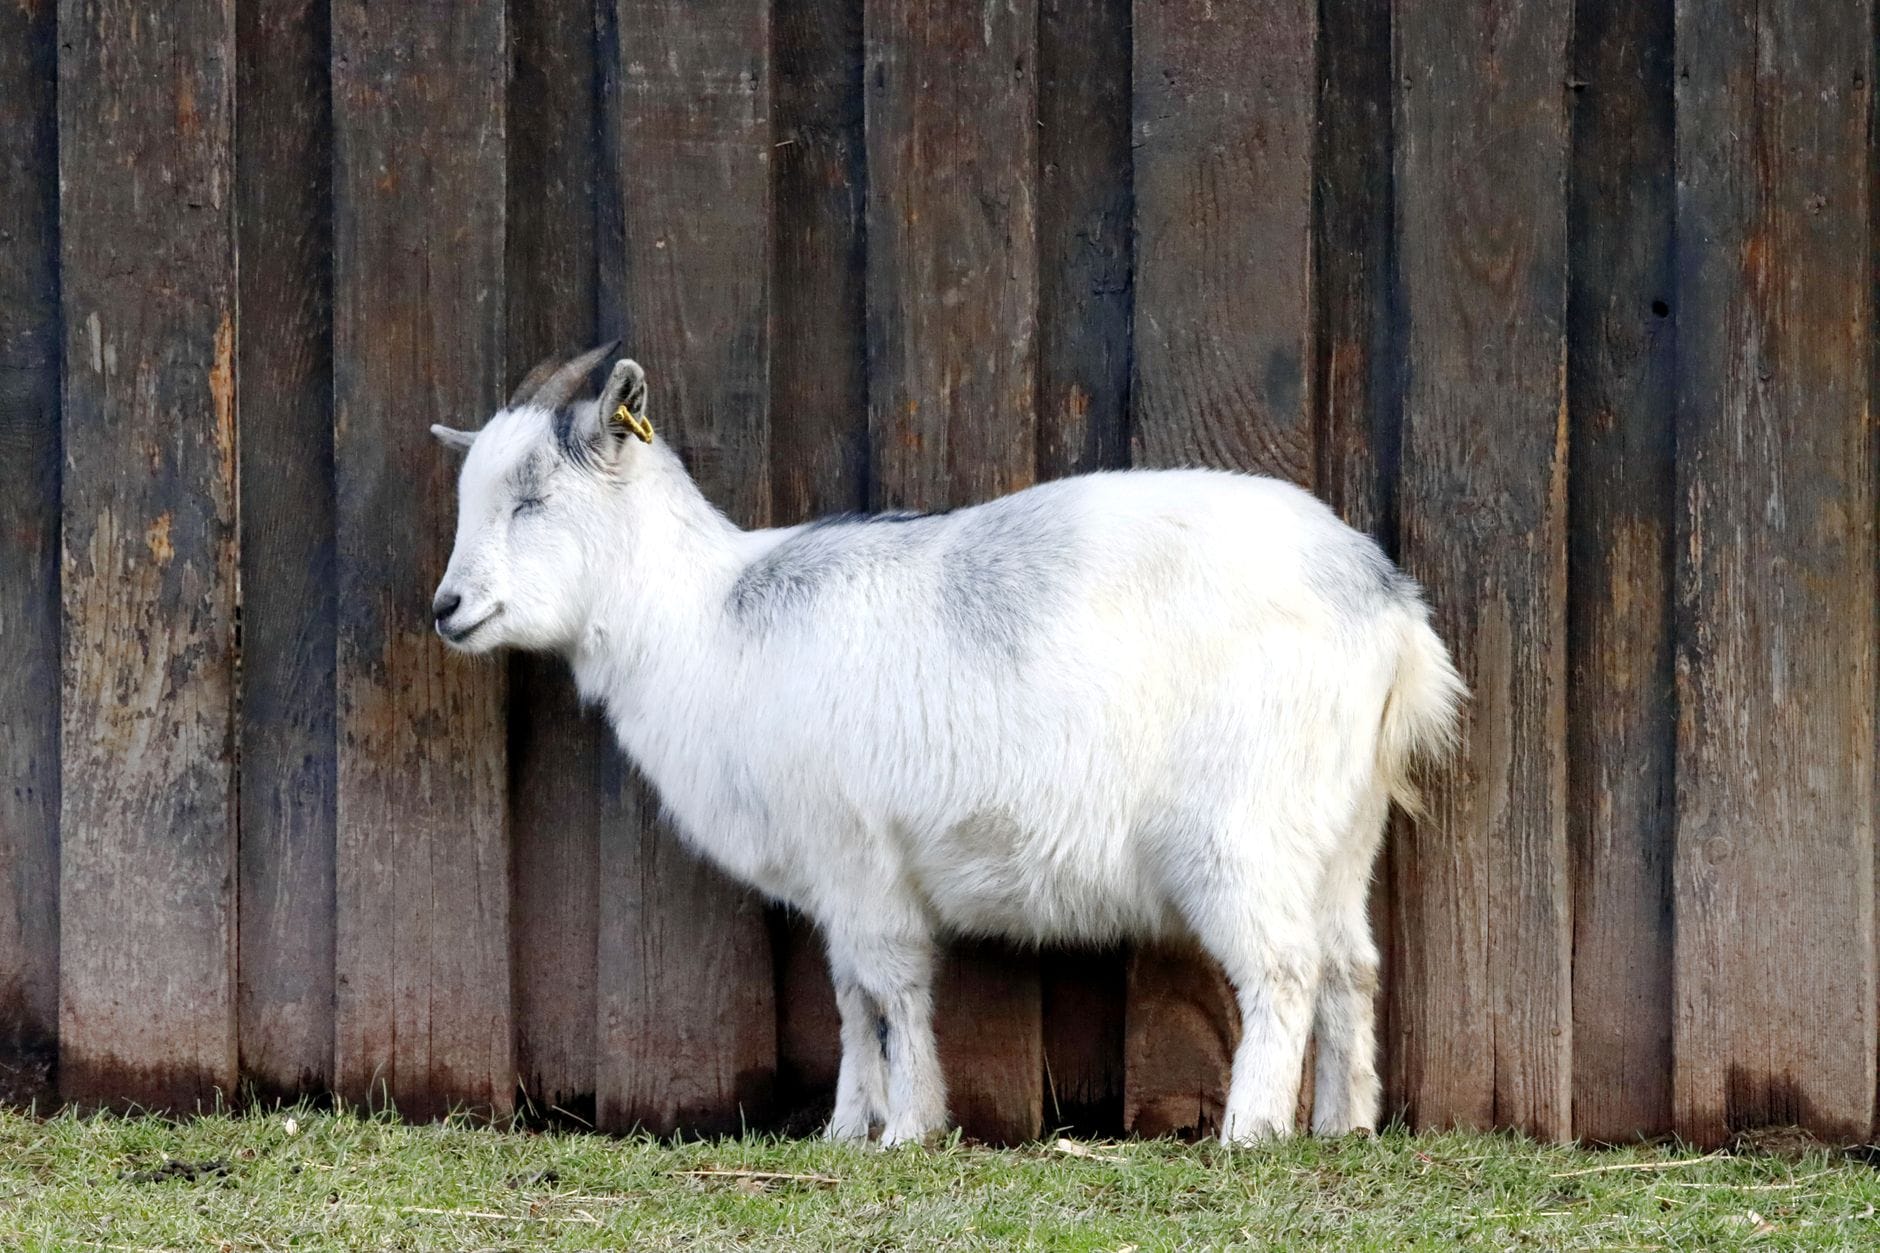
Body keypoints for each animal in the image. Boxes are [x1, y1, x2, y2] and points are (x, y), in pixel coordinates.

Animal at [431, 345, 1464, 1145]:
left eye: (532, 499)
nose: (447, 607)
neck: (705, 618)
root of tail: (1387, 605)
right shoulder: (833, 875)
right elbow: (851, 995)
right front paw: (848, 1128)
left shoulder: (860, 852)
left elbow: (892, 987)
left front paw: (909, 1127)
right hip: (1339, 829)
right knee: (1350, 964)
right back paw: (1343, 1123)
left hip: (1243, 827)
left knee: (1284, 967)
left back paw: (1251, 1131)